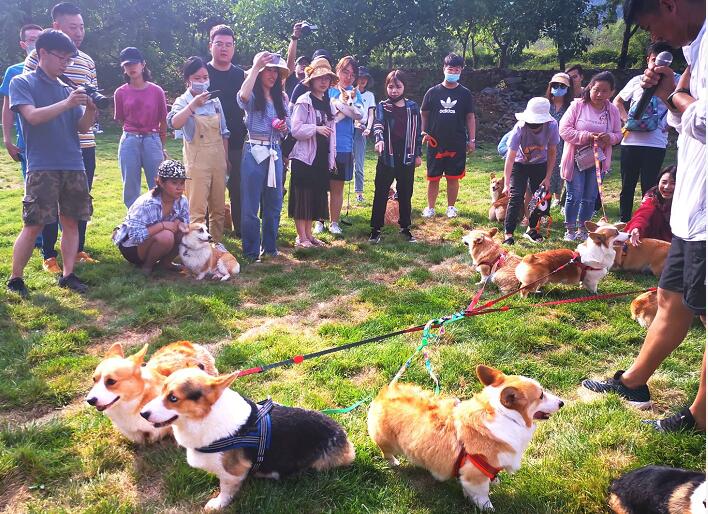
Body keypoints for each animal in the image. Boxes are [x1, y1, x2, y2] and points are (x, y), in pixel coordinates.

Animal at [141, 368, 356, 508]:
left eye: (173, 398)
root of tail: (343, 436)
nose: (142, 413)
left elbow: (225, 490)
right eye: (161, 391)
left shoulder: (232, 473)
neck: (205, 417)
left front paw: (217, 504)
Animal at [370, 364, 564, 508]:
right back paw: (394, 462)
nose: (562, 403)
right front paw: (488, 508)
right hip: (387, 442)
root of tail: (385, 392)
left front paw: (495, 481)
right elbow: (483, 496)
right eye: (541, 395)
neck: (504, 415)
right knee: (386, 452)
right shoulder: (475, 476)